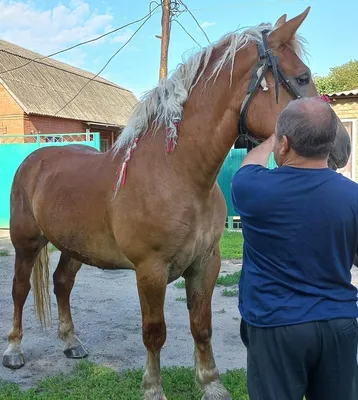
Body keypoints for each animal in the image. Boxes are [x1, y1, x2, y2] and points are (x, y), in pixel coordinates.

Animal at [2, 7, 350, 400]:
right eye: (302, 77)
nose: (342, 147)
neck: (177, 174)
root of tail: (36, 158)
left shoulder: (206, 264)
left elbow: (202, 326)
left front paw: (211, 383)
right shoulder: (150, 271)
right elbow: (155, 333)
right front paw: (153, 388)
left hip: (74, 247)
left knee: (62, 284)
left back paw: (71, 343)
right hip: (26, 243)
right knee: (19, 290)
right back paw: (14, 350)